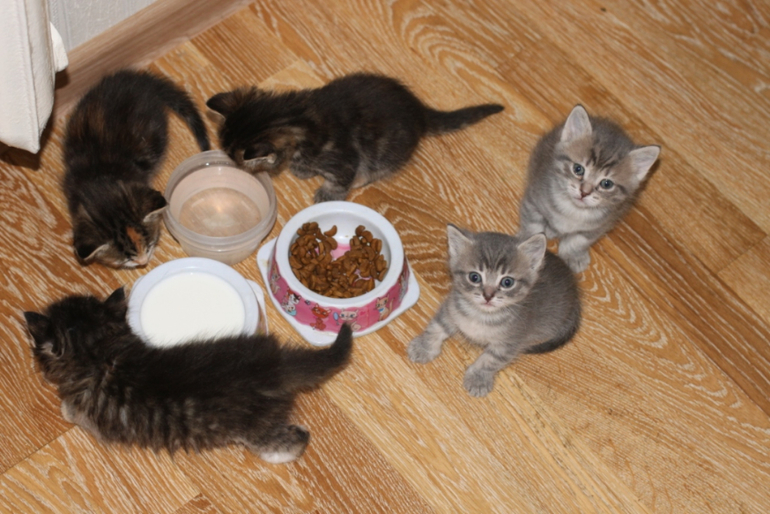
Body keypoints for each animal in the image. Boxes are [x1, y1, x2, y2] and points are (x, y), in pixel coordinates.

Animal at [24, 287, 352, 462]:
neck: (99, 352)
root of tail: (275, 365)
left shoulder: (91, 417)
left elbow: (73, 412)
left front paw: (64, 408)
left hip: (257, 429)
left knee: (295, 439)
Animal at [206, 73, 504, 203]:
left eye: (239, 162)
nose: (234, 168)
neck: (297, 115)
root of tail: (419, 111)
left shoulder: (342, 158)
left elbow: (339, 180)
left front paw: (326, 194)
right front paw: (301, 169)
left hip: (387, 152)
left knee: (378, 169)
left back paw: (361, 179)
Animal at [408, 225, 580, 397]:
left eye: (507, 282)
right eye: (474, 277)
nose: (488, 296)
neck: (481, 315)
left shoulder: (510, 342)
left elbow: (490, 360)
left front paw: (478, 378)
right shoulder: (451, 308)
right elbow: (436, 327)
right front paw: (424, 347)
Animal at [518, 105, 660, 272]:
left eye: (606, 184)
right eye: (578, 169)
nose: (584, 192)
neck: (573, 211)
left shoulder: (600, 224)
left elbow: (578, 239)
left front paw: (573, 255)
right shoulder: (533, 200)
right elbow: (532, 226)